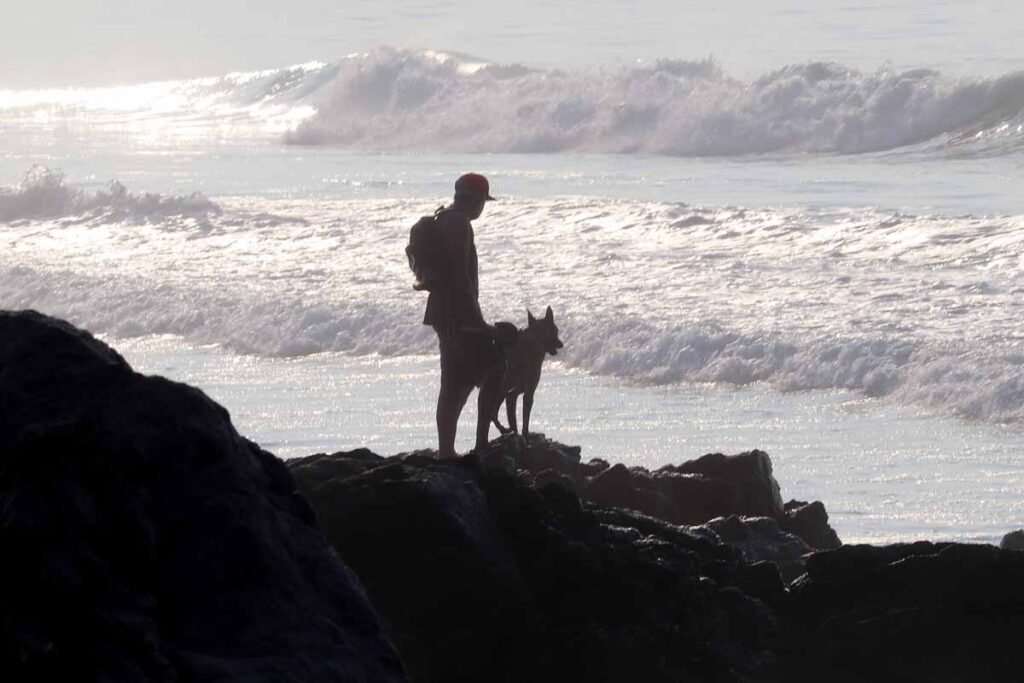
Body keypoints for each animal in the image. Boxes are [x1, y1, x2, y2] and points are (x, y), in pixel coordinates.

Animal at [489, 305, 565, 444]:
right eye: (556, 331)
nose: (561, 344)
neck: (535, 340)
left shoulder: (516, 392)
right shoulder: (526, 393)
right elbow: (524, 423)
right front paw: (525, 440)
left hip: (500, 388)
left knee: (493, 413)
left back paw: (503, 430)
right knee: (493, 412)